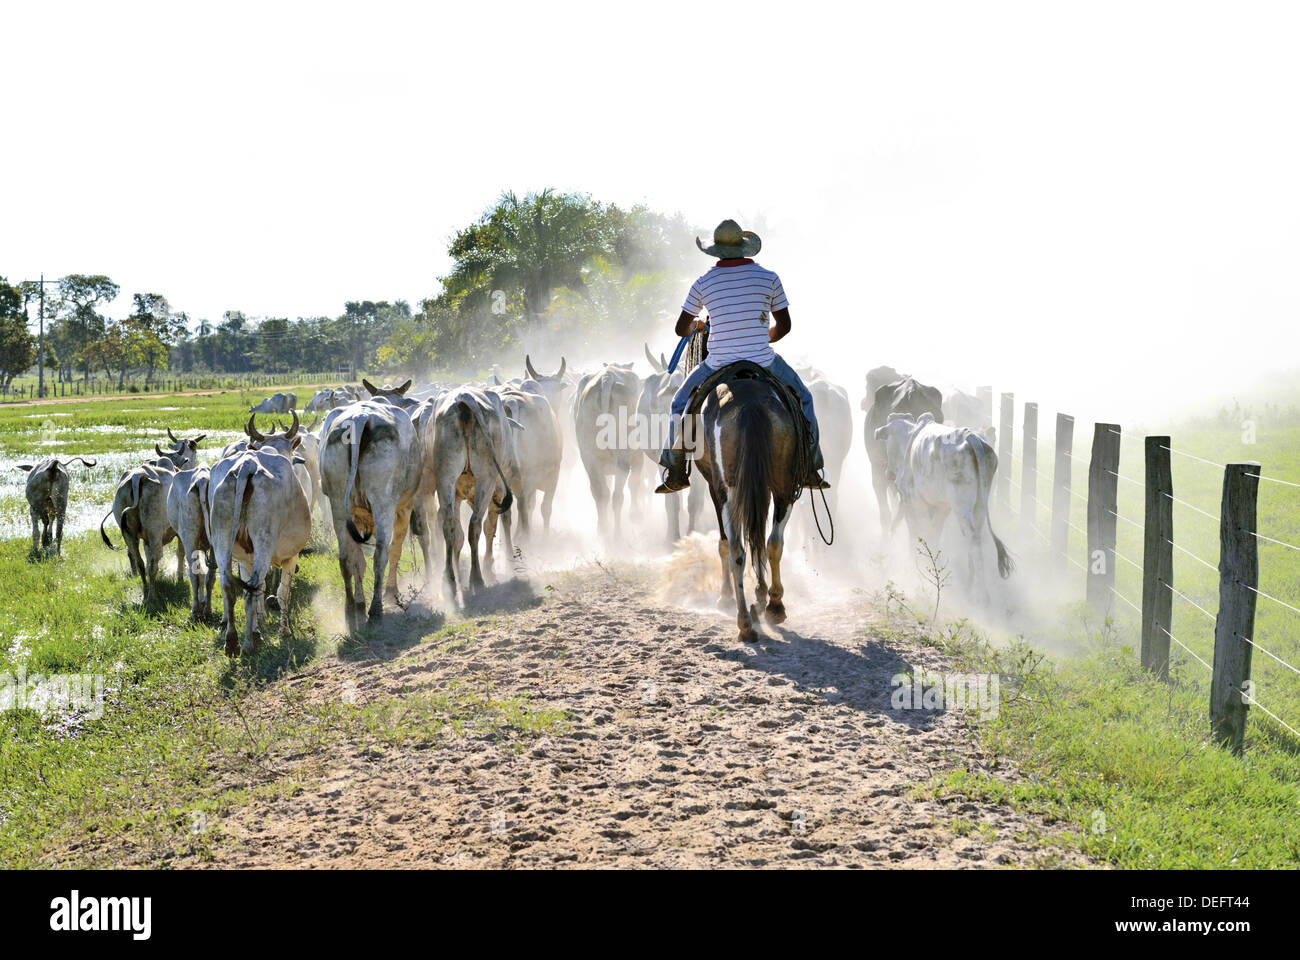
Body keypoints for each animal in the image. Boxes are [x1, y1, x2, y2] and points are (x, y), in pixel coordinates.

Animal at [873, 408, 1013, 600]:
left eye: (888, 440)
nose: (888, 473)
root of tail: (971, 437)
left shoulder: (915, 502)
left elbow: (918, 533)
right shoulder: (942, 507)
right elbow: (933, 535)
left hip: (961, 507)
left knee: (973, 538)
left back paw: (982, 595)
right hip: (979, 506)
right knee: (976, 536)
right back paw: (969, 585)